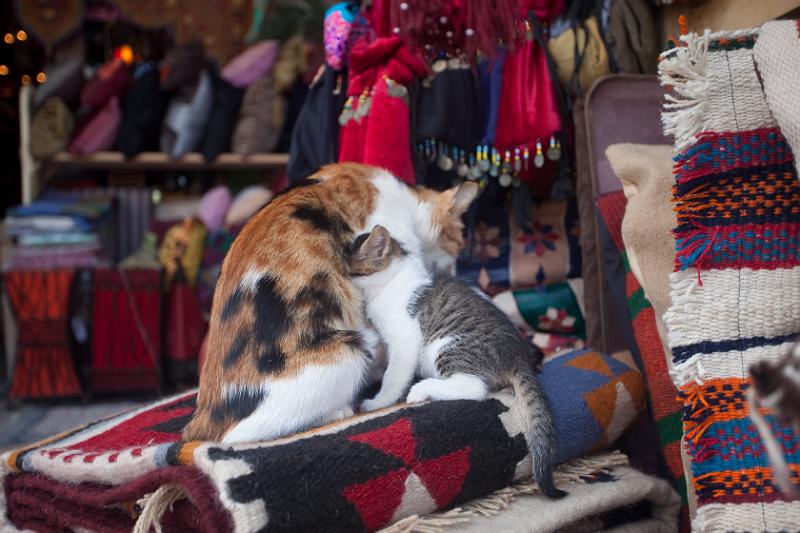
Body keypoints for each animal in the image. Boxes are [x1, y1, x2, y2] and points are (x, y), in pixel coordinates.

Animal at [184, 163, 478, 444]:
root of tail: (202, 420)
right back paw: (339, 411)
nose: (455, 267)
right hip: (347, 352)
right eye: (459, 241)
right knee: (242, 434)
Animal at [350, 224, 564, 498]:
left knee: (474, 387)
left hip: (445, 346)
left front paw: (378, 402)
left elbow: (394, 375)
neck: (393, 278)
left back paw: (422, 390)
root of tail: (518, 355)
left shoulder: (404, 338)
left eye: (348, 265)